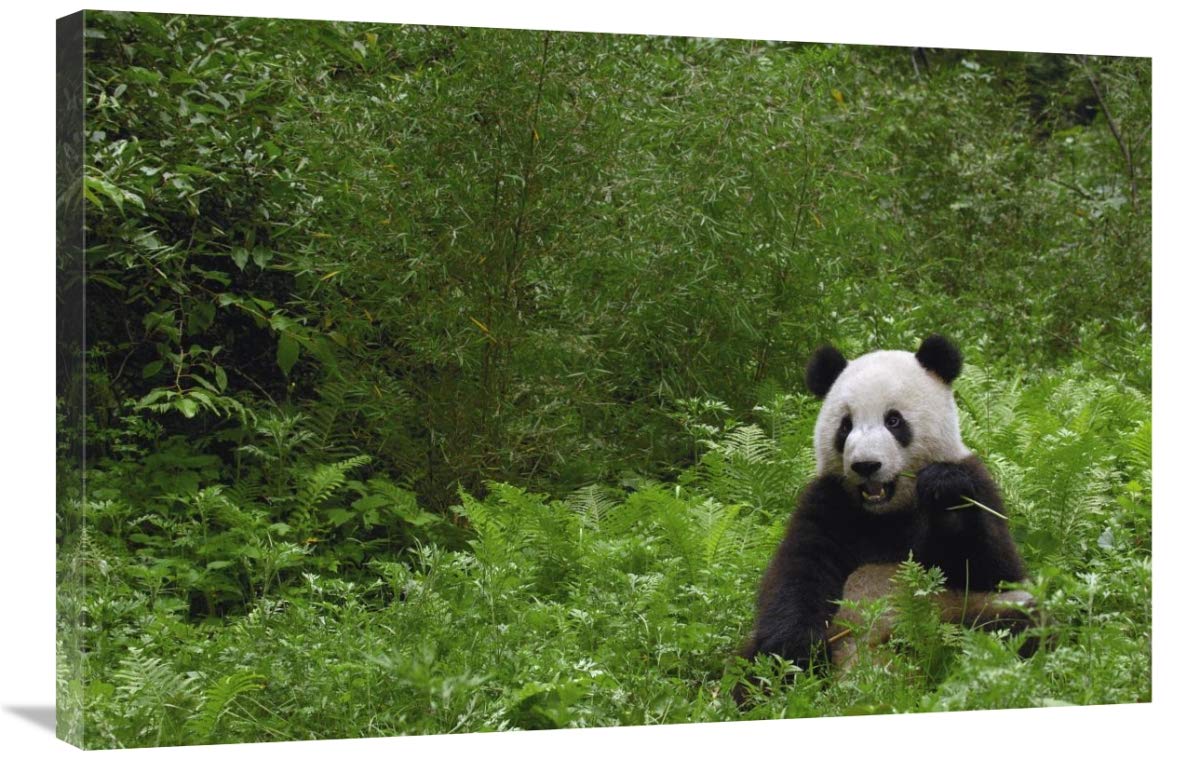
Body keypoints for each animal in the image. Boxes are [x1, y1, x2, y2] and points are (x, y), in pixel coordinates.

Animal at [739, 334, 1031, 684]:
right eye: (845, 426)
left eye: (893, 420)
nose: (866, 465)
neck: (887, 511)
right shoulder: (828, 501)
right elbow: (799, 573)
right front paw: (795, 654)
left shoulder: (978, 482)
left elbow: (995, 570)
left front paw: (944, 491)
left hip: (964, 614)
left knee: (1012, 623)